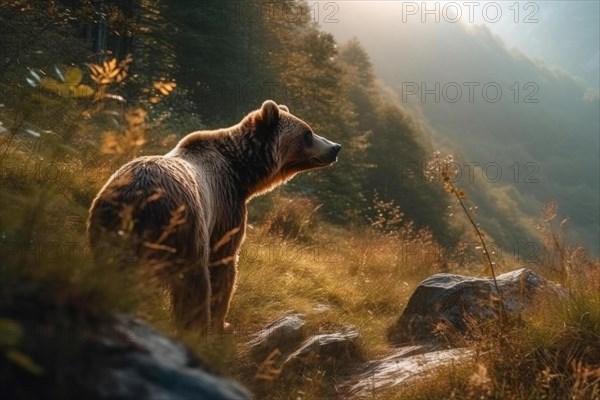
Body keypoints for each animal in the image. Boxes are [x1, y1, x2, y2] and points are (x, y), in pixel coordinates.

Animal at [88, 100, 342, 332]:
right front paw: (223, 322)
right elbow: (224, 264)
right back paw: (197, 327)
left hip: (106, 227)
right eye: (308, 133)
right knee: (195, 282)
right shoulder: (225, 207)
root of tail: (138, 200)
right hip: (187, 228)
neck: (242, 174)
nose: (336, 147)